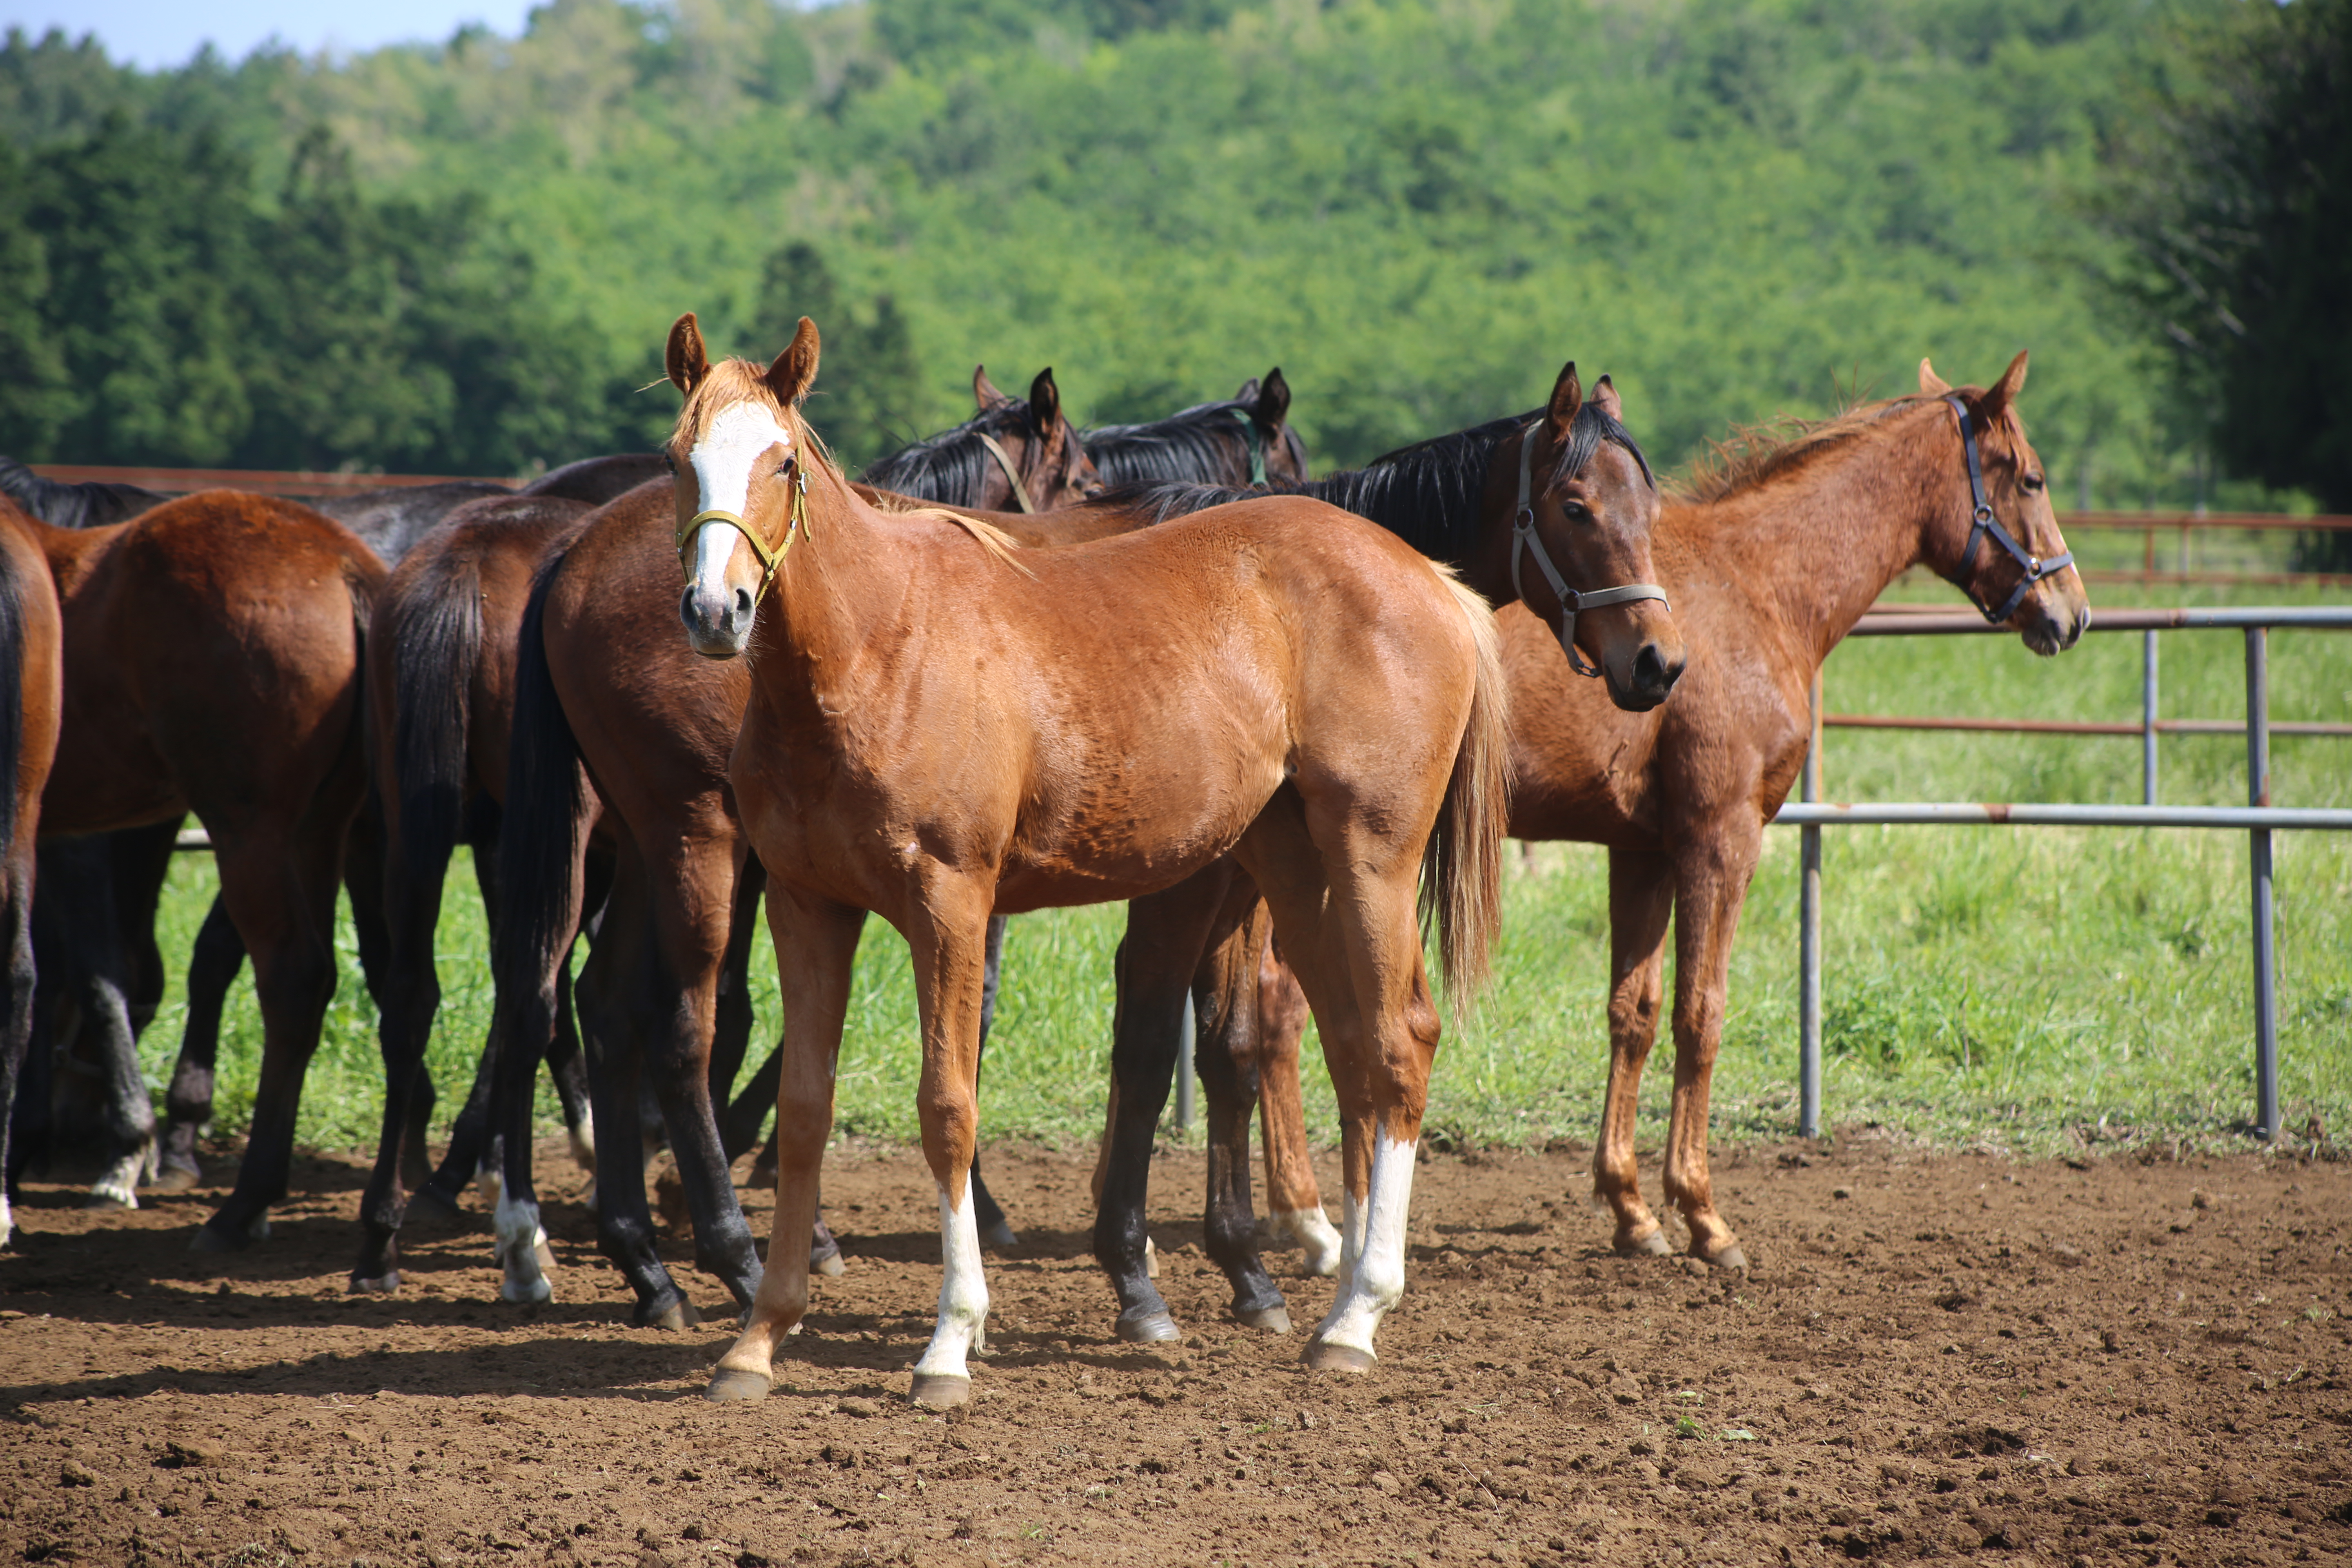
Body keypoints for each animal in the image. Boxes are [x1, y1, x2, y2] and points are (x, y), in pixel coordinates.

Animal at [663, 312, 1515, 1401]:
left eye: (781, 462)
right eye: (680, 461)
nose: (715, 610)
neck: (873, 647)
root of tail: (1427, 578)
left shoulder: (950, 904)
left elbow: (948, 1105)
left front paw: (951, 1341)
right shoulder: (809, 908)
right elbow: (808, 1110)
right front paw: (759, 1338)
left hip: (1372, 859)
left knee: (1400, 1041)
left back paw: (1359, 1313)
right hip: (1294, 867)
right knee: (1354, 1046)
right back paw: (1338, 1294)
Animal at [1232, 355, 2098, 1278]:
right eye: (2033, 479)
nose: (2071, 611)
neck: (1754, 591)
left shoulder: (1641, 852)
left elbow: (1635, 1014)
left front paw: (1631, 1209)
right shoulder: (1722, 842)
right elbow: (1700, 1014)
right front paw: (1704, 1216)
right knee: (1283, 1013)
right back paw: (1312, 1221)